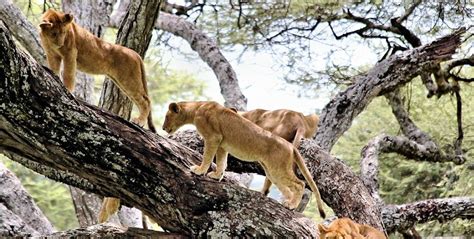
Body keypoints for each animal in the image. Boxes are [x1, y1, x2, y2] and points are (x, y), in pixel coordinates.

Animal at [163, 100, 326, 218]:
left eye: (166, 116)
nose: (163, 128)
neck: (197, 107)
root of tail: (291, 146)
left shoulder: (213, 137)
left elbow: (208, 156)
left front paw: (199, 170)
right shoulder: (221, 144)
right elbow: (221, 161)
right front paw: (216, 176)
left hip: (278, 168)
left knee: (300, 184)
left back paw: (291, 205)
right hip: (272, 171)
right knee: (287, 188)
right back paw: (287, 203)